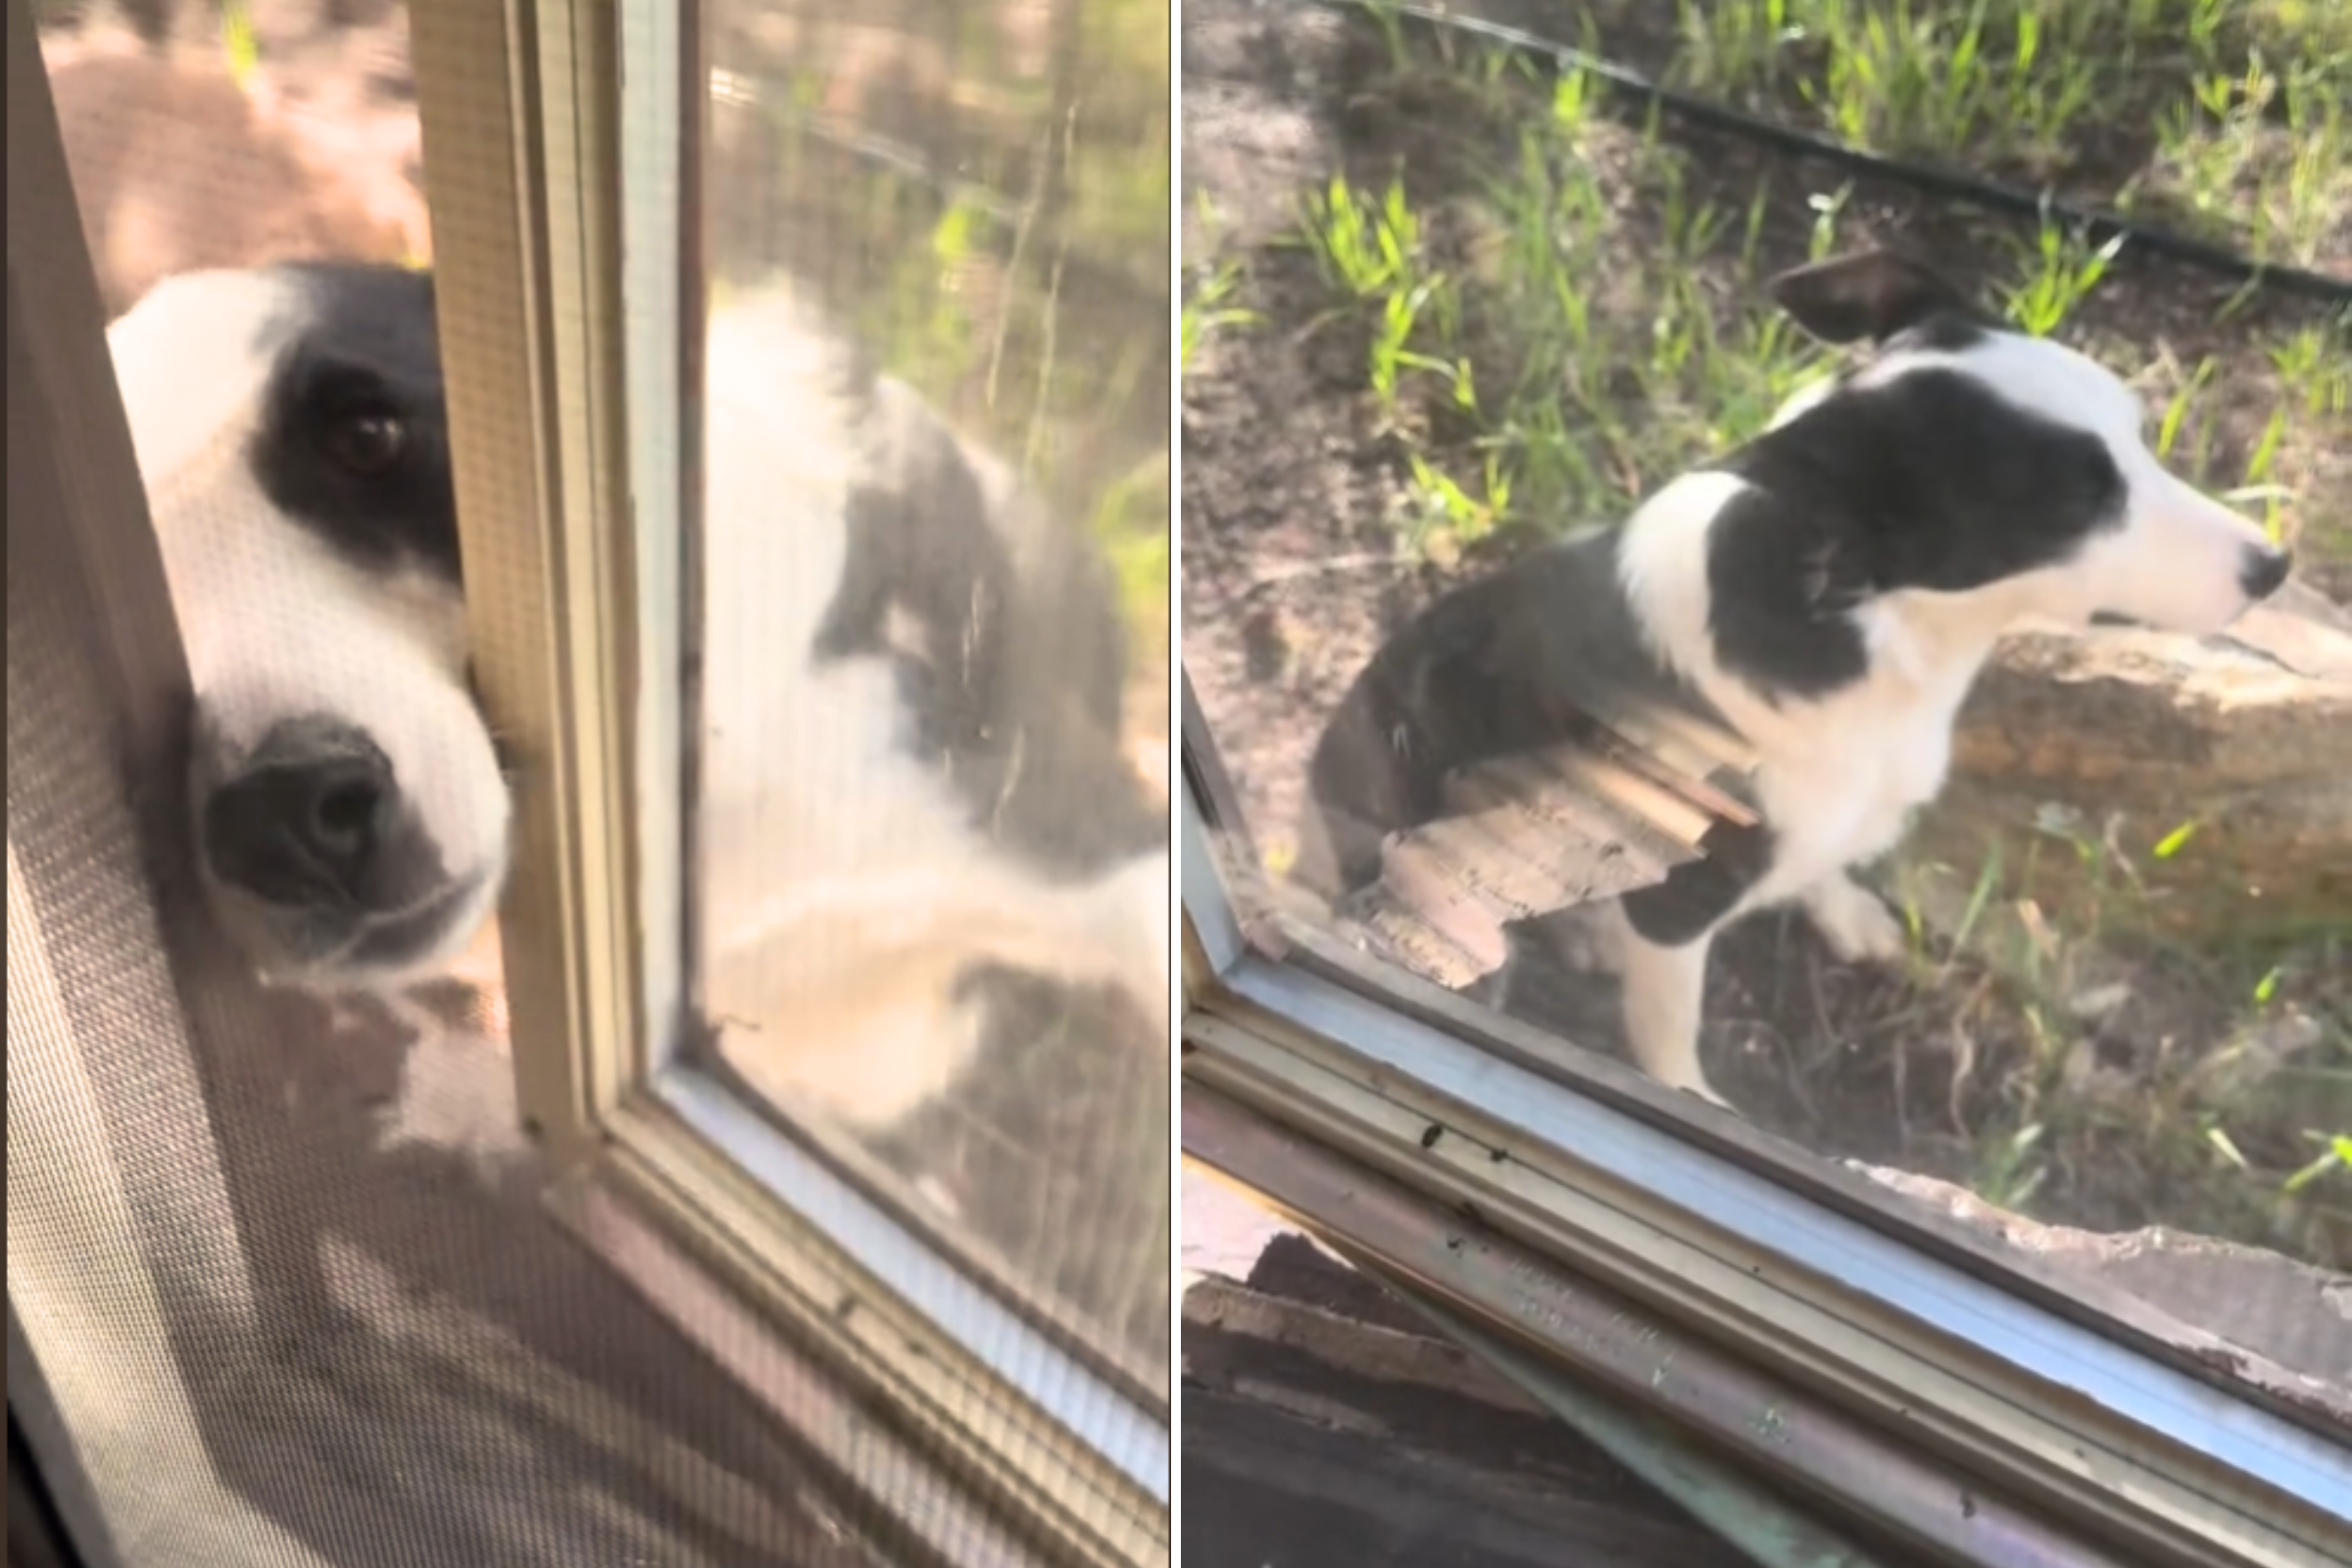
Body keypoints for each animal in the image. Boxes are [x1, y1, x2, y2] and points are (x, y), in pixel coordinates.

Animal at [1298, 248, 2285, 1104]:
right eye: (2078, 503)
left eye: (2140, 436)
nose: (2275, 564)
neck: (1861, 625)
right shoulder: (1678, 904)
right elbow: (1668, 1031)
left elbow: (1823, 868)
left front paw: (1845, 911)